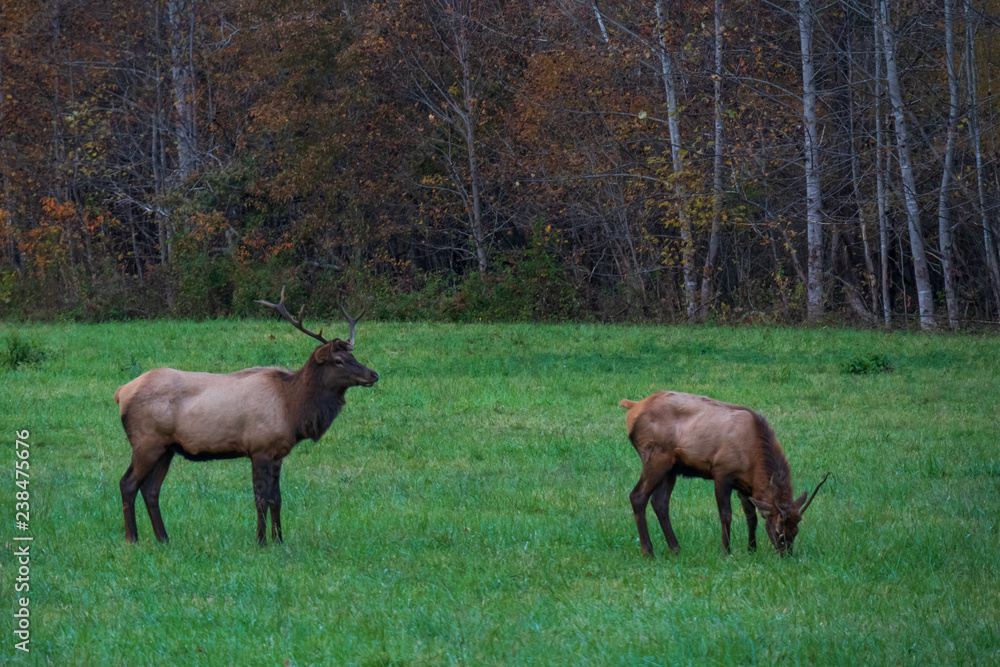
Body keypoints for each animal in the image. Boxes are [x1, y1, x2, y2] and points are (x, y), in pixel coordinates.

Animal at [114, 288, 378, 546]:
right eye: (339, 361)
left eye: (354, 357)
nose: (373, 374)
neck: (292, 409)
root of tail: (121, 392)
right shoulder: (259, 448)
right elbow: (261, 498)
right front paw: (260, 541)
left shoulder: (277, 454)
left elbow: (277, 498)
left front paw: (279, 540)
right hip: (146, 442)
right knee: (128, 483)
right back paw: (132, 539)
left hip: (166, 448)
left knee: (151, 490)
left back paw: (164, 539)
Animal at [619, 391, 830, 558]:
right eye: (779, 531)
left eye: (796, 530)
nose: (787, 556)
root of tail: (633, 407)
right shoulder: (722, 472)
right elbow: (726, 515)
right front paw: (726, 551)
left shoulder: (745, 486)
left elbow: (751, 517)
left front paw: (751, 549)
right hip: (655, 458)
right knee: (637, 496)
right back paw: (649, 551)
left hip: (671, 468)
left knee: (660, 502)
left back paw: (676, 548)